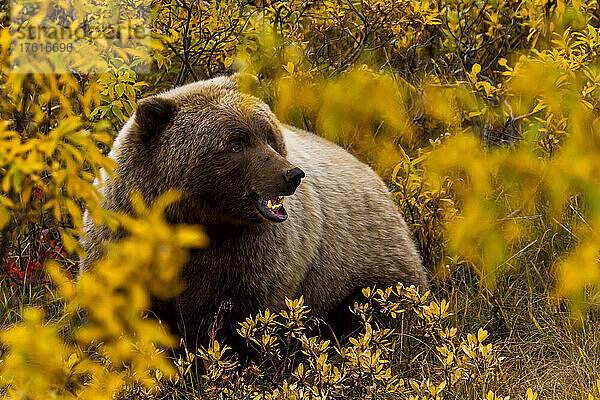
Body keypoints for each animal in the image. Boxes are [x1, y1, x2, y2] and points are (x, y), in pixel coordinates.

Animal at [78, 73, 426, 352]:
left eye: (269, 136)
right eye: (235, 144)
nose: (291, 174)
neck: (196, 221)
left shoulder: (249, 256)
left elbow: (237, 321)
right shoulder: (123, 236)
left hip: (366, 265)